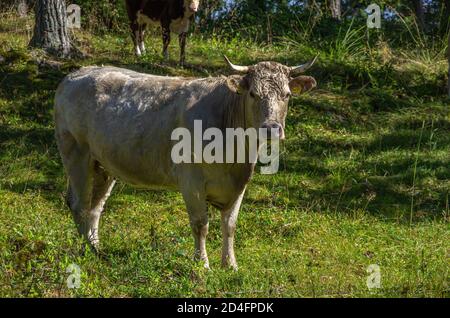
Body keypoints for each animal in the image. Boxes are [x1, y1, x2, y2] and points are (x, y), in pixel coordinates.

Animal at [54, 56, 316, 268]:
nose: (271, 128)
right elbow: (201, 224)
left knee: (95, 207)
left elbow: (230, 225)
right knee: (79, 204)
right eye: (253, 94)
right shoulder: (191, 180)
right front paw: (202, 266)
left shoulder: (239, 184)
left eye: (287, 95)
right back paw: (85, 252)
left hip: (104, 165)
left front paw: (230, 265)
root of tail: (76, 74)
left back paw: (96, 248)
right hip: (76, 153)